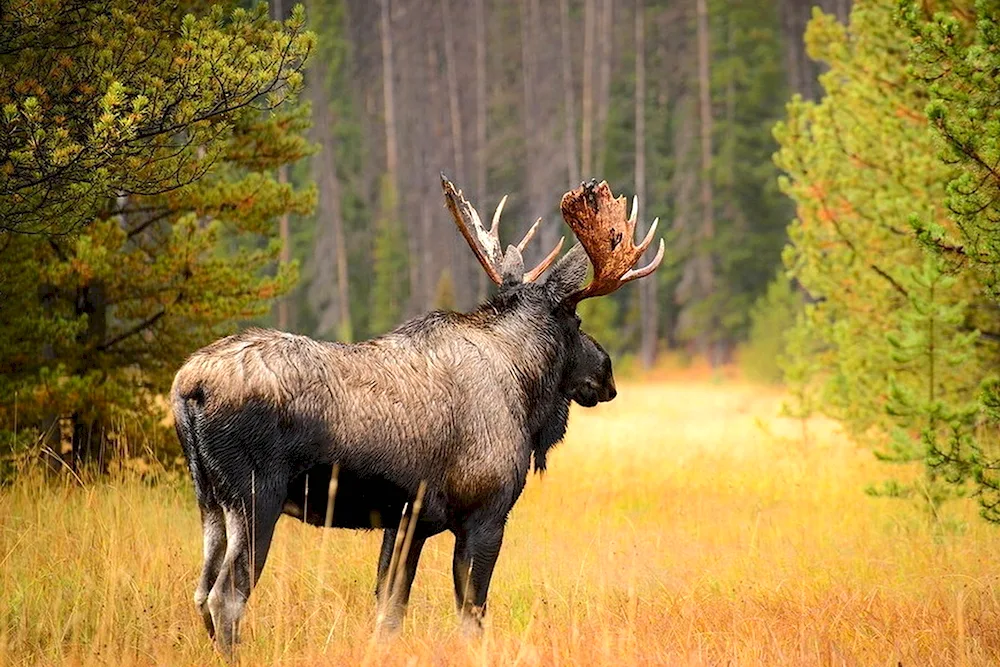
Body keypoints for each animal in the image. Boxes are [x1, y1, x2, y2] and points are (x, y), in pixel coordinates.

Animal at [172, 175, 664, 656]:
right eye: (577, 323)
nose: (607, 374)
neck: (525, 388)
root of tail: (188, 387)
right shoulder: (485, 513)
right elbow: (471, 613)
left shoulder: (407, 521)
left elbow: (390, 611)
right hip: (256, 497)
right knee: (225, 597)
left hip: (210, 501)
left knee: (200, 591)